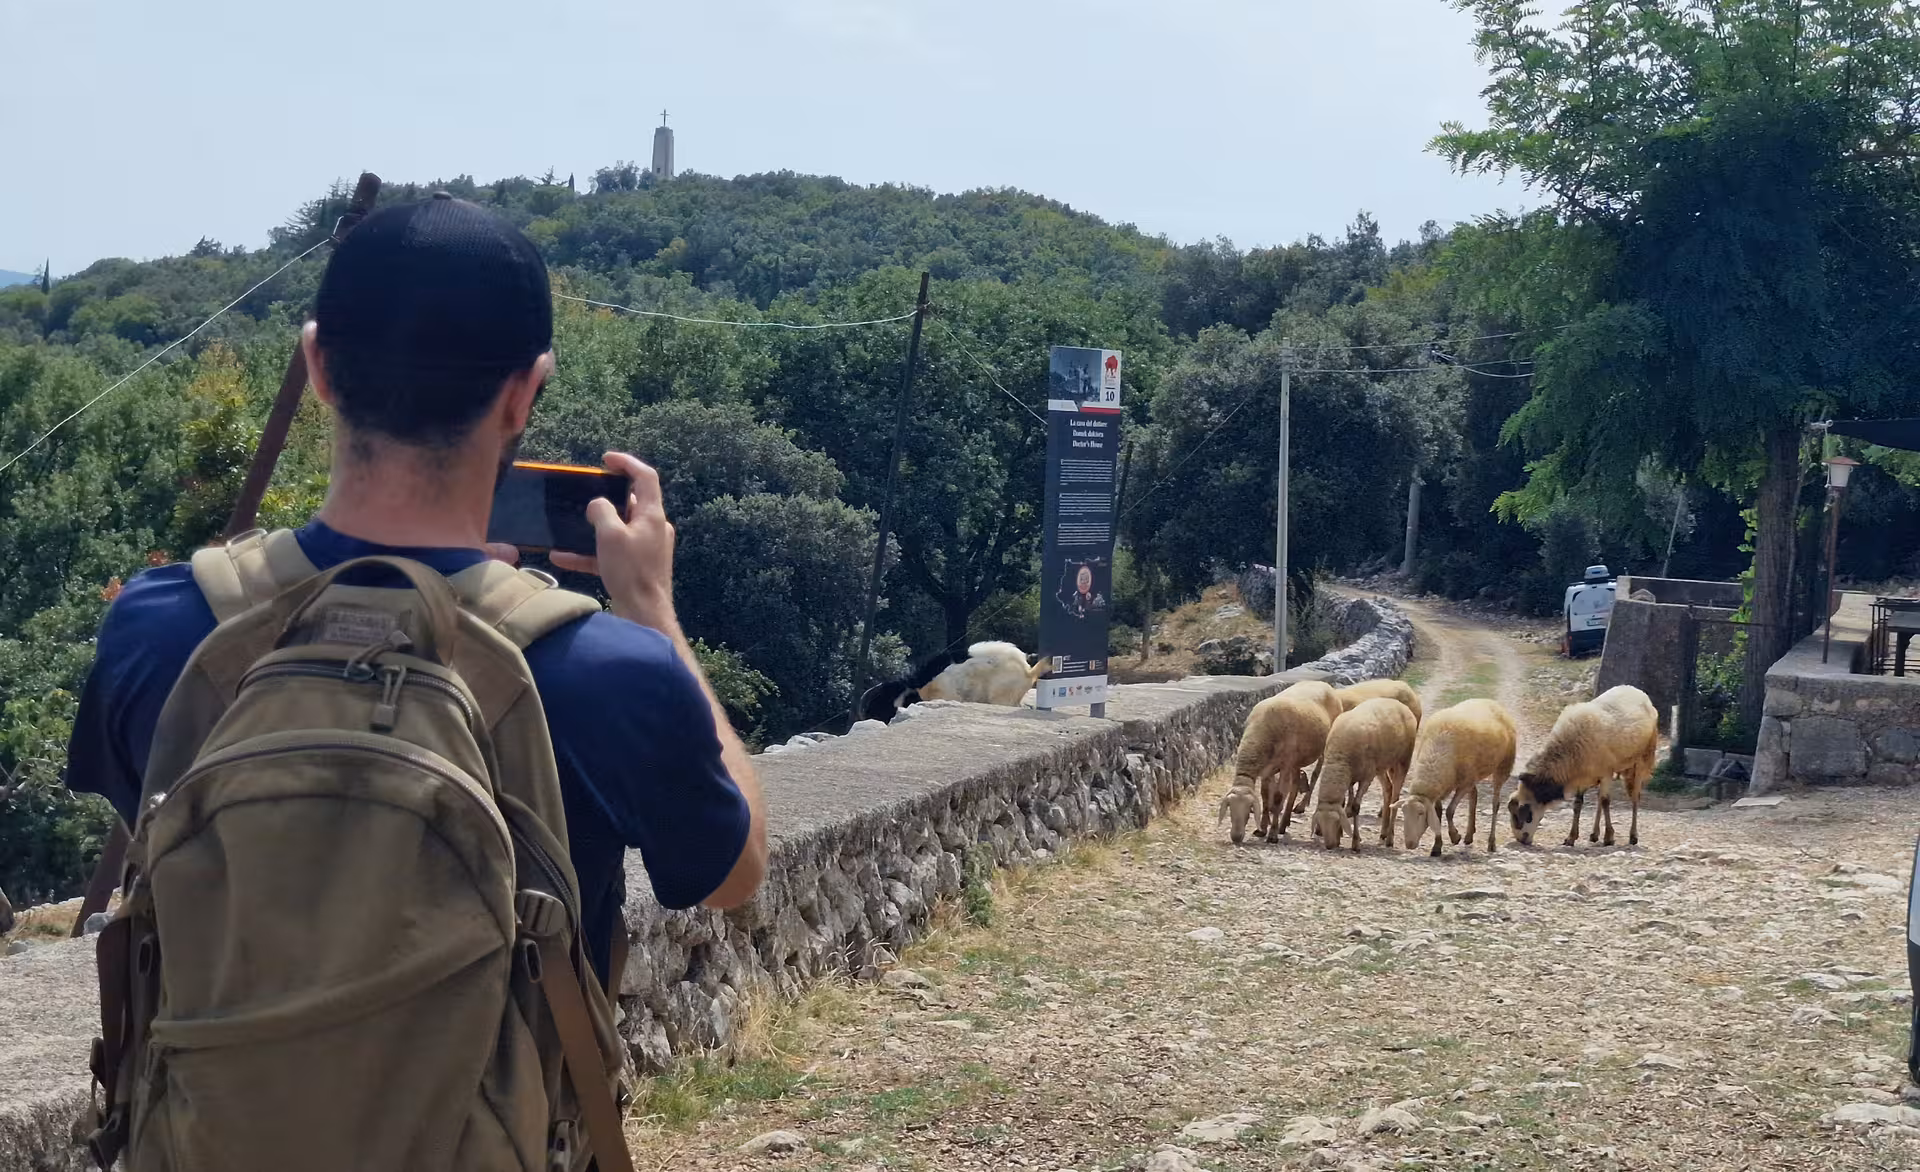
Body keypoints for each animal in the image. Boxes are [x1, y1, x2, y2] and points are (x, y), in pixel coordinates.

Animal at [1217, 685, 1338, 844]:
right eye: (1230, 808)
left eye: (1249, 809)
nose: (1236, 837)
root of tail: (1325, 685)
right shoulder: (1268, 767)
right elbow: (1265, 795)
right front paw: (1262, 829)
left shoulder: (1285, 765)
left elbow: (1278, 797)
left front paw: (1272, 834)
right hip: (1296, 760)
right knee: (1295, 786)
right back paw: (1284, 823)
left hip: (1322, 750)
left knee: (1315, 775)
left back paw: (1302, 809)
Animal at [1307, 697, 1419, 850]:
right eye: (1319, 822)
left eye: (1336, 821)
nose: (1329, 845)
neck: (1340, 758)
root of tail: (1400, 704)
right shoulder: (1350, 777)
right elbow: (1346, 802)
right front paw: (1341, 836)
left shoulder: (1366, 778)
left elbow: (1355, 807)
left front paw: (1355, 842)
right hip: (1381, 766)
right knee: (1388, 789)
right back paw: (1383, 834)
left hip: (1403, 760)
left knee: (1395, 797)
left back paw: (1390, 839)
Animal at [1395, 699, 1517, 856]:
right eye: (1403, 812)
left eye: (1421, 813)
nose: (1409, 844)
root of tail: (1492, 703)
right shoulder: (1442, 787)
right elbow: (1438, 813)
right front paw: (1437, 846)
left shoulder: (1464, 784)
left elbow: (1449, 811)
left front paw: (1454, 836)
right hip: (1475, 773)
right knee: (1474, 796)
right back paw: (1469, 835)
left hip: (1503, 767)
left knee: (1495, 804)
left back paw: (1491, 843)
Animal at [1507, 684, 1660, 848]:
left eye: (1524, 813)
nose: (1522, 840)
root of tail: (1637, 691)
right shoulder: (1583, 777)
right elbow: (1578, 804)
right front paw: (1571, 837)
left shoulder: (1606, 772)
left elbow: (1606, 801)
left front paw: (1609, 837)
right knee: (1600, 799)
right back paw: (1594, 834)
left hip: (1641, 761)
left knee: (1634, 797)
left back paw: (1633, 836)